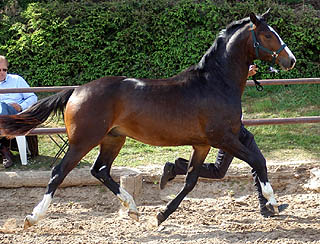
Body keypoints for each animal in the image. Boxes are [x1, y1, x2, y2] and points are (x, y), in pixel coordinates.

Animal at [0, 10, 296, 229]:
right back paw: (33, 218)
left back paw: (132, 209)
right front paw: (272, 202)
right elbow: (258, 160)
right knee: (58, 173)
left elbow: (191, 180)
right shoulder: (223, 138)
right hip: (83, 141)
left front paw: (161, 214)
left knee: (100, 171)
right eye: (267, 34)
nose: (290, 60)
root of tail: (76, 90)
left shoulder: (202, 144)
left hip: (113, 139)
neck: (214, 83)